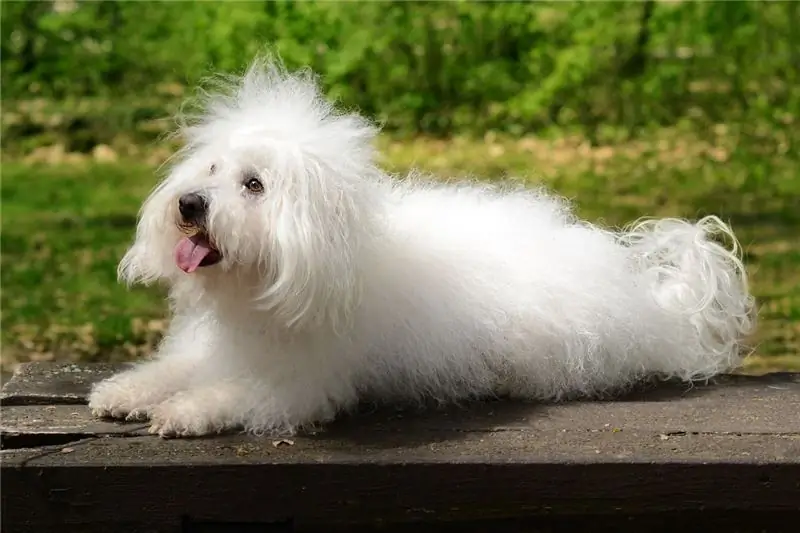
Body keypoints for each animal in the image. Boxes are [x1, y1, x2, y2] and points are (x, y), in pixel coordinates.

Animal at [87, 57, 756, 436]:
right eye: (211, 169)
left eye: (254, 185)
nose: (189, 205)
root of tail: (648, 301)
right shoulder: (211, 349)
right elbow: (172, 368)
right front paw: (123, 393)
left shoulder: (299, 382)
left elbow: (232, 395)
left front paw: (181, 413)